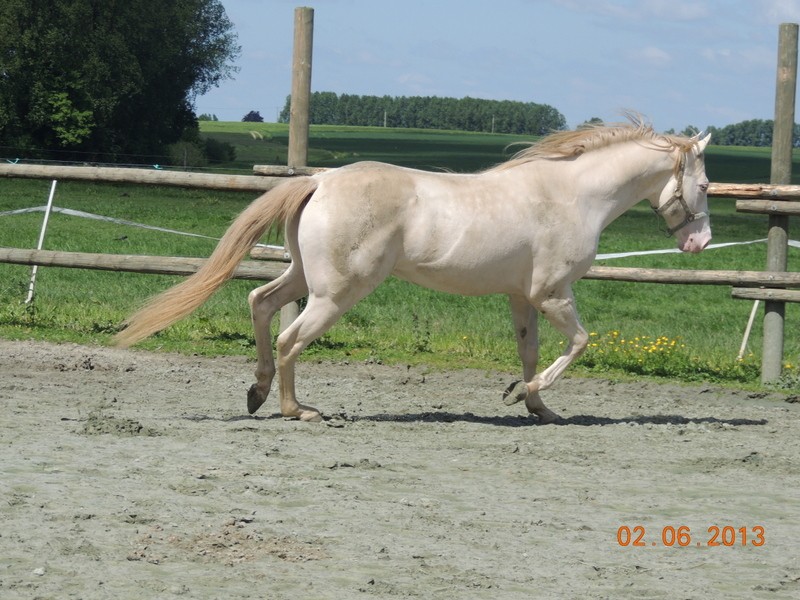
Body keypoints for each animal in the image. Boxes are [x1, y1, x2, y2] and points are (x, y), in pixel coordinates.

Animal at [114, 119, 712, 424]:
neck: (573, 196)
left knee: (260, 303)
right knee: (289, 337)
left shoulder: (522, 298)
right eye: (705, 185)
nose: (700, 242)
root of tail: (321, 179)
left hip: (306, 278)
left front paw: (538, 407)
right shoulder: (553, 293)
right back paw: (295, 410)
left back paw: (257, 394)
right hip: (335, 294)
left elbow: (531, 351)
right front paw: (521, 395)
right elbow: (581, 342)